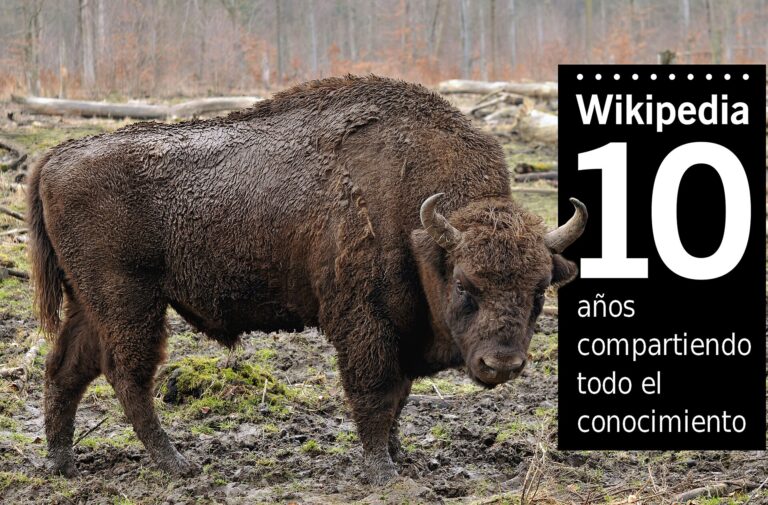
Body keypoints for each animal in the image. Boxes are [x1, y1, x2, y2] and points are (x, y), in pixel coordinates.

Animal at [28, 75, 586, 484]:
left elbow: (399, 396)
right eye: (466, 285)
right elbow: (376, 392)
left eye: (540, 291)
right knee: (126, 375)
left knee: (65, 368)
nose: (502, 363)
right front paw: (382, 471)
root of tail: (56, 155)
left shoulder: (401, 330)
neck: (420, 227)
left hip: (89, 302)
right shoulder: (365, 323)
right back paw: (177, 463)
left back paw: (62, 463)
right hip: (129, 301)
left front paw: (399, 455)